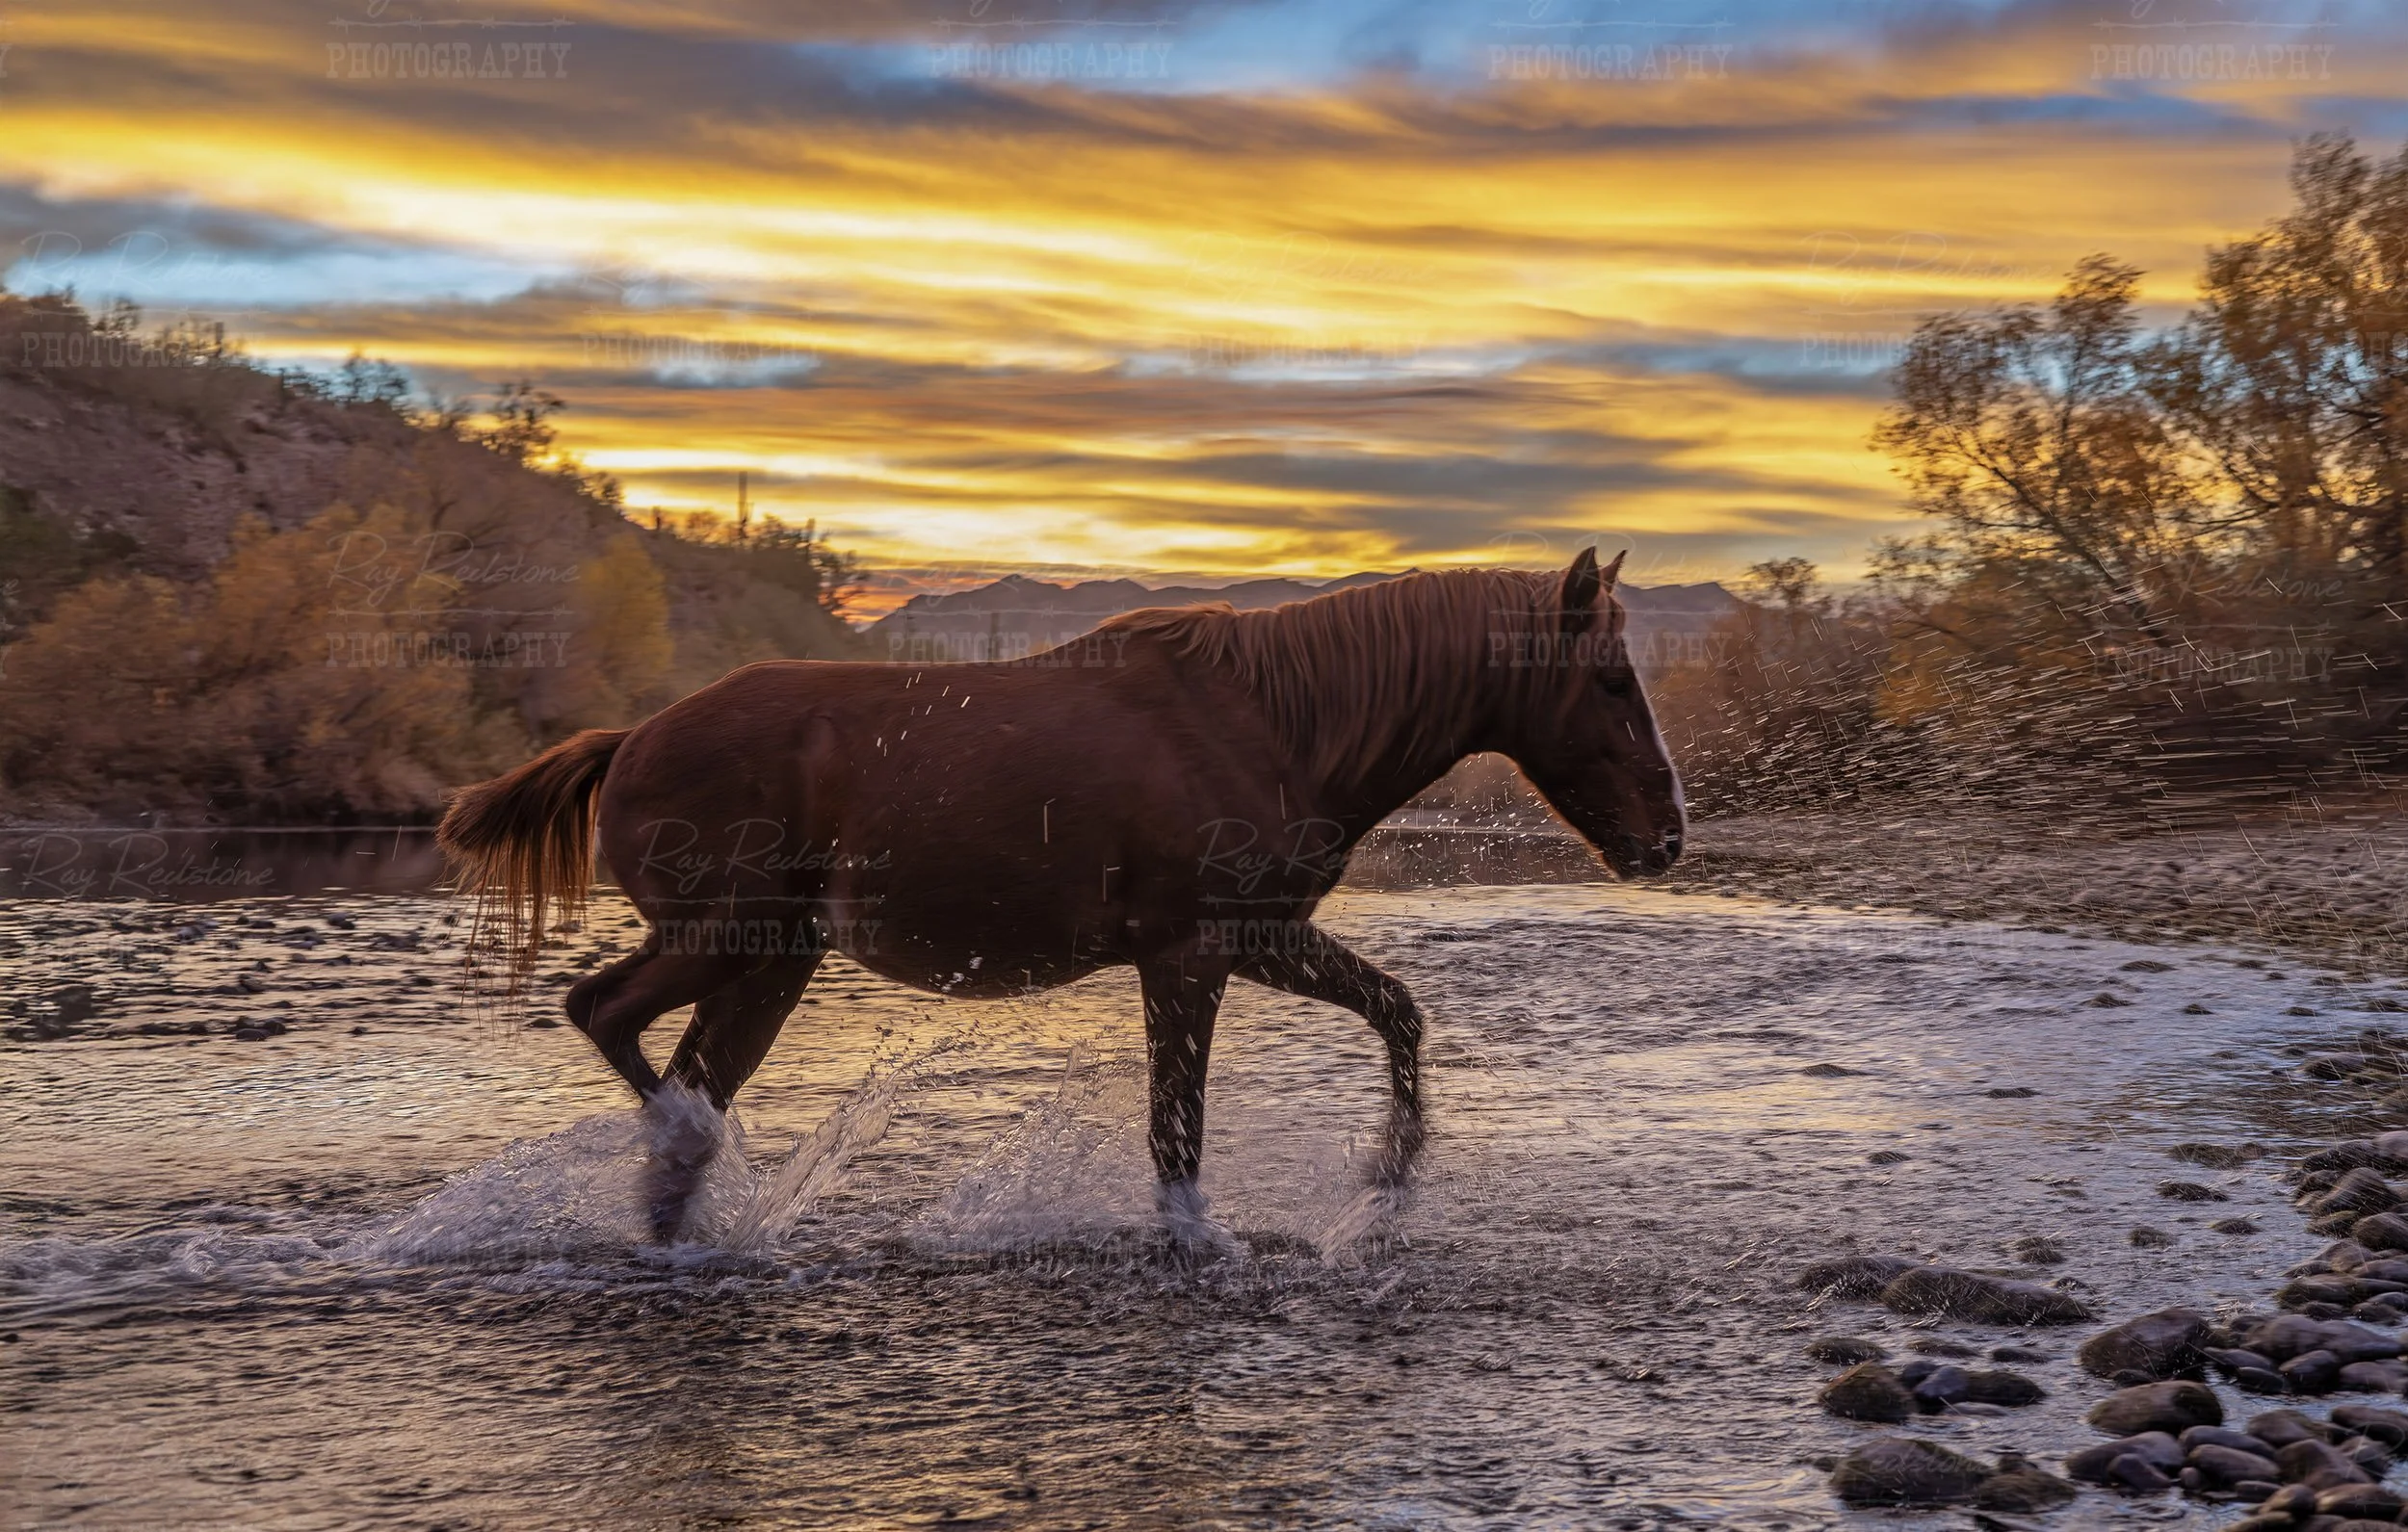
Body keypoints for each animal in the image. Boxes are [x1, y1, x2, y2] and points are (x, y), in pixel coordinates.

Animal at [436, 549, 1685, 1239]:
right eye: (1609, 680)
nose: (1666, 835)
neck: (1282, 723)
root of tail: (627, 739)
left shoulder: (1262, 939)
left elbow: (1398, 1013)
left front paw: (1387, 1173)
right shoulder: (1188, 955)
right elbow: (1175, 1138)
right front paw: (1207, 1239)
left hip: (771, 962)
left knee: (682, 1085)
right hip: (725, 938)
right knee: (608, 1020)